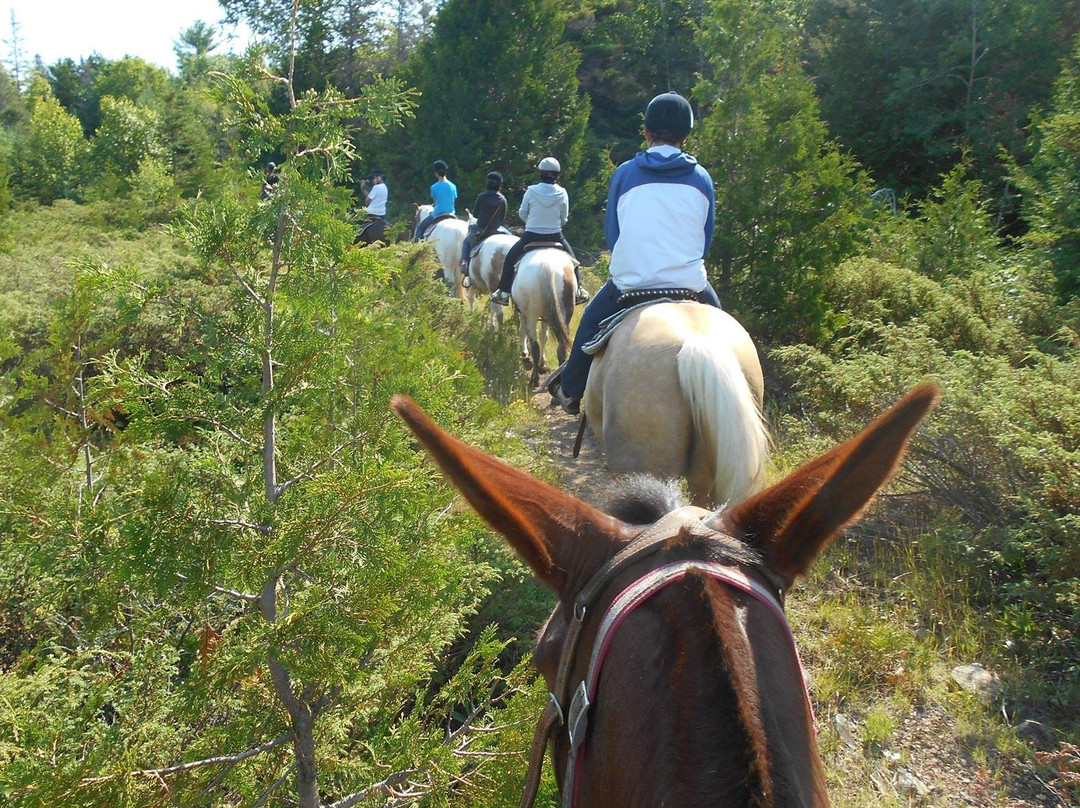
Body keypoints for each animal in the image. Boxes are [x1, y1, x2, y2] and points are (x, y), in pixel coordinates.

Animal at [509, 247, 578, 386]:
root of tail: (548, 267)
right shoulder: (547, 315)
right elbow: (544, 336)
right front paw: (542, 362)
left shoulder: (522, 313)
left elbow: (523, 331)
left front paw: (525, 353)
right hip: (564, 314)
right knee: (561, 346)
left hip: (531, 314)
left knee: (534, 346)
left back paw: (534, 380)